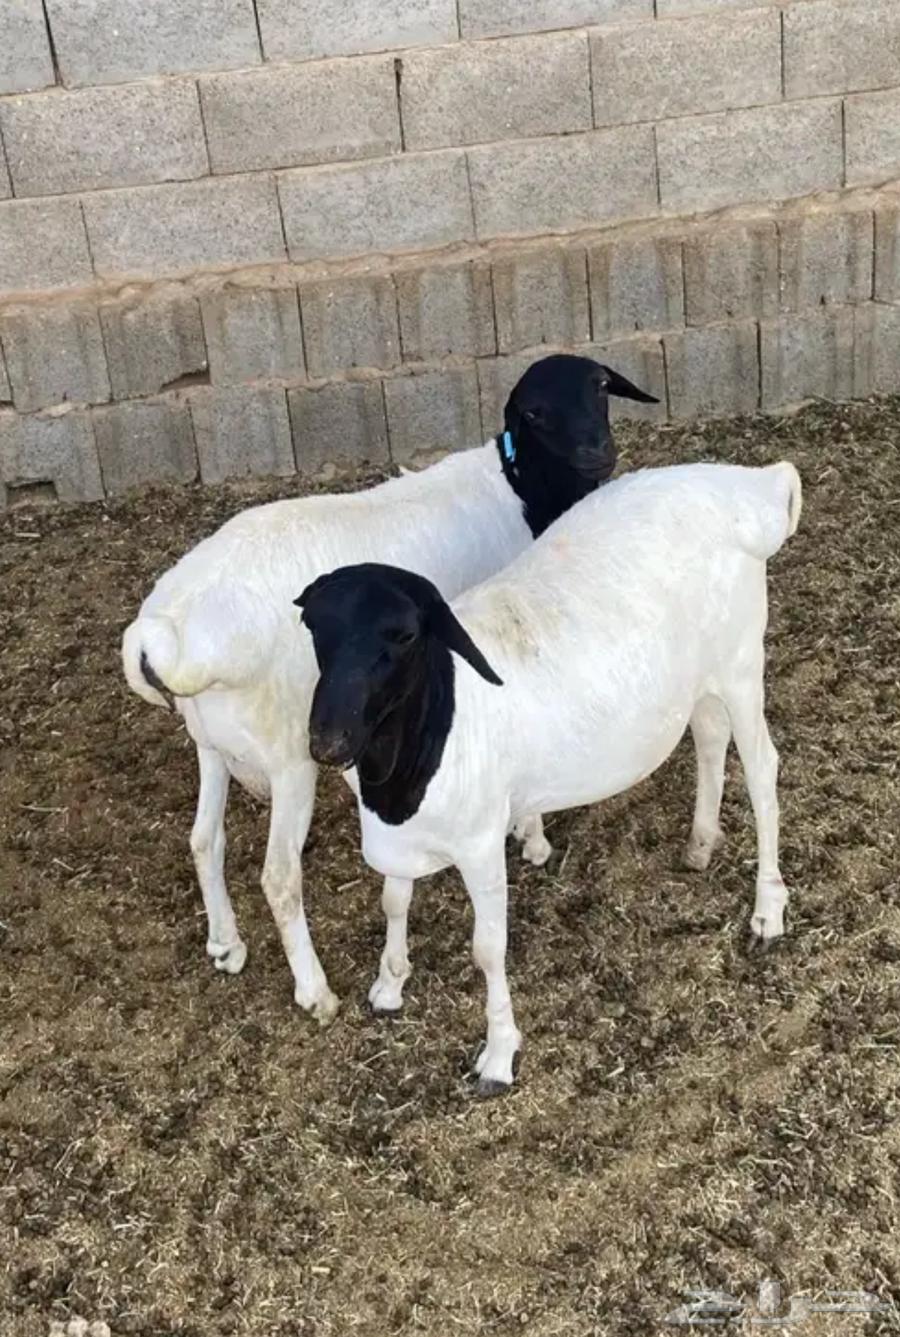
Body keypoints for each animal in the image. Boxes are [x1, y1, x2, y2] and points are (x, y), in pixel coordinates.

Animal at [121, 354, 658, 1023]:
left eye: (600, 386)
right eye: (534, 413)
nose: (596, 451)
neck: (517, 492)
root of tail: (165, 632)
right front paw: (532, 836)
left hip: (211, 743)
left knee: (202, 840)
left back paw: (226, 943)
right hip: (288, 753)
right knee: (279, 878)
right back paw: (316, 992)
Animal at [298, 460, 802, 1091]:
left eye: (405, 636)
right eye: (316, 630)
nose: (328, 740)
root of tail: (749, 487)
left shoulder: (480, 841)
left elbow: (487, 949)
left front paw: (498, 1053)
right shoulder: (400, 835)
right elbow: (393, 901)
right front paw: (390, 983)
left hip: (740, 663)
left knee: (762, 770)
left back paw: (768, 909)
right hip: (700, 676)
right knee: (711, 738)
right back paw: (700, 844)